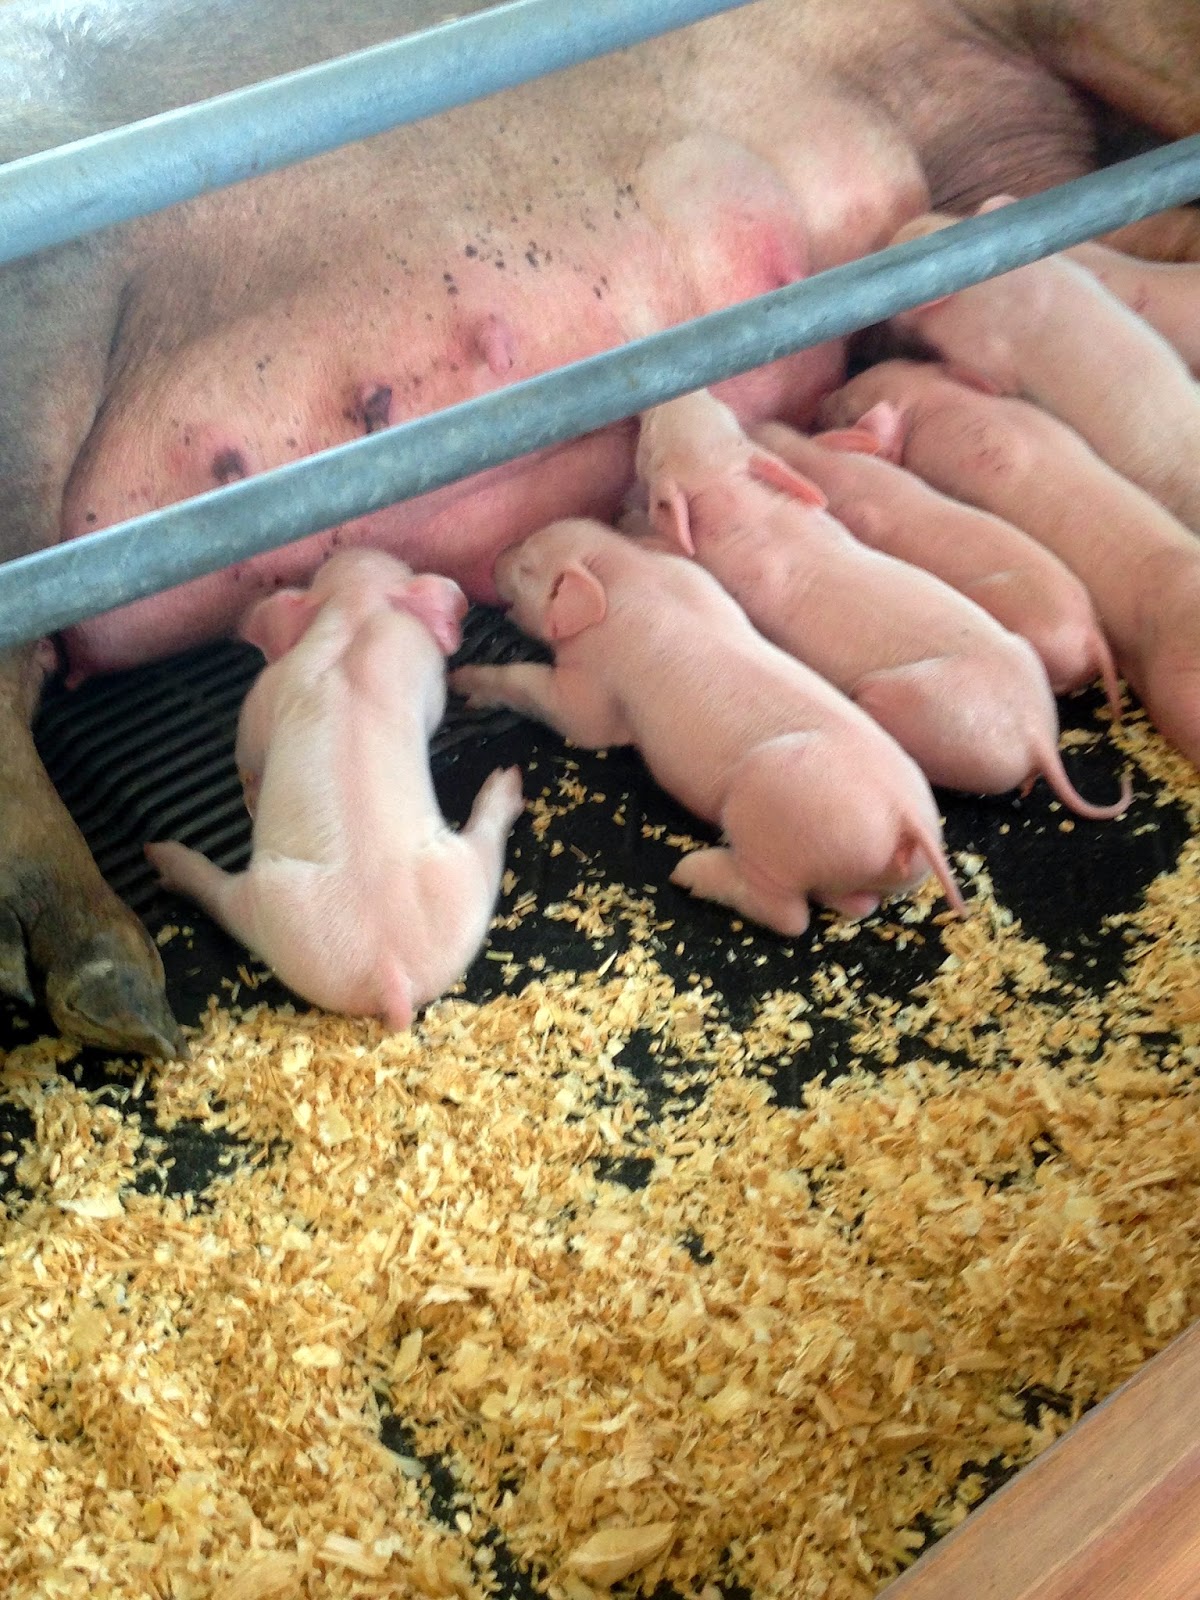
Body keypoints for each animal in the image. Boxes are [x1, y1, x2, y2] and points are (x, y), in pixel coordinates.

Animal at [145, 550, 524, 1029]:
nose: (349, 549)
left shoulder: (263, 696)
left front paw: (252, 795)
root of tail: (390, 973)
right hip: (461, 884)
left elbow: (247, 748)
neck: (356, 611)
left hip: (272, 909)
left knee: (222, 899)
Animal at [451, 518, 964, 934]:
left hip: (773, 816)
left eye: (527, 568)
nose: (497, 554)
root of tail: (906, 819)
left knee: (790, 916)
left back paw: (692, 872)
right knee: (855, 905)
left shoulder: (593, 693)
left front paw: (462, 683)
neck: (628, 574)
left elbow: (550, 699)